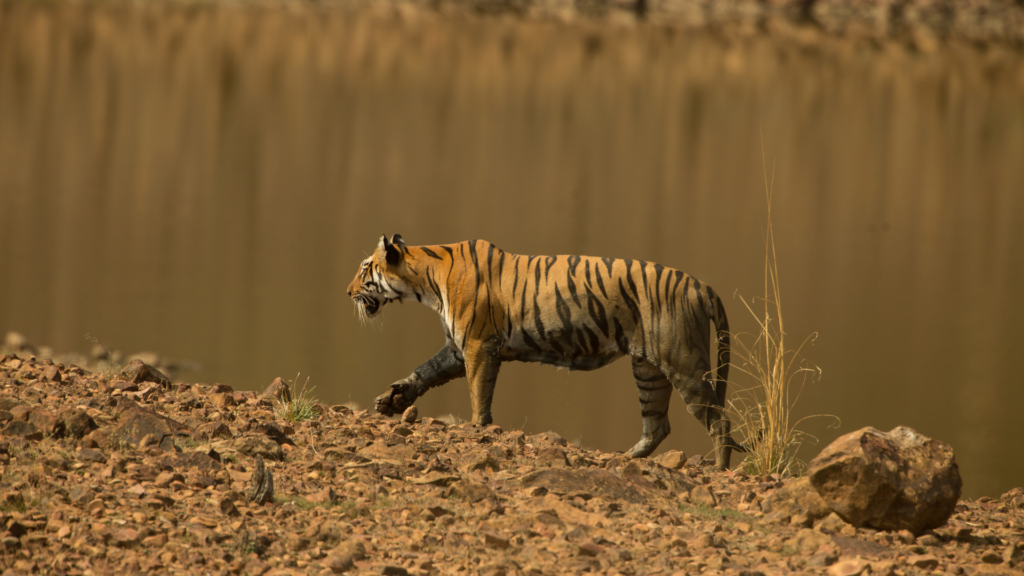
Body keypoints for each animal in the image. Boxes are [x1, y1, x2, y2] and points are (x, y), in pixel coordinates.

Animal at [347, 234, 745, 469]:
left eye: (366, 268)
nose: (347, 292)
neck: (425, 280)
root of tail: (701, 285)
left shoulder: (478, 345)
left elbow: (479, 392)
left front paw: (478, 426)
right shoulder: (457, 349)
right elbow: (426, 369)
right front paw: (393, 399)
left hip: (684, 363)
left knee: (719, 421)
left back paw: (719, 469)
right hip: (648, 369)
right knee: (657, 424)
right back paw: (622, 459)